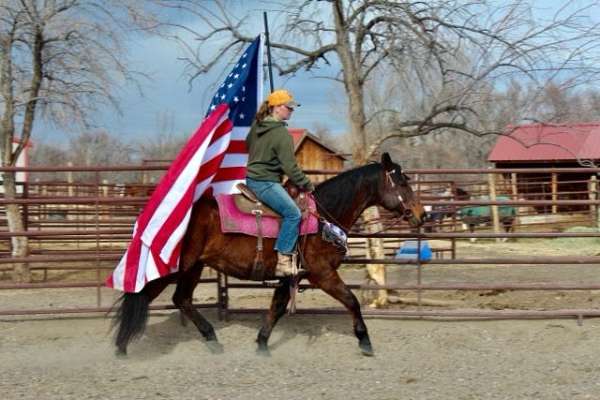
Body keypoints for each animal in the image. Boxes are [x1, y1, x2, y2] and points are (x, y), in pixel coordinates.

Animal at [112, 153, 426, 356]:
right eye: (401, 183)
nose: (422, 215)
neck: (322, 217)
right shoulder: (322, 274)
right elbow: (352, 301)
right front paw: (364, 341)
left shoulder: (290, 277)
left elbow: (276, 307)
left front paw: (262, 343)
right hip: (176, 267)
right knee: (145, 294)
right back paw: (122, 345)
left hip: (193, 268)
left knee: (182, 299)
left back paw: (211, 340)